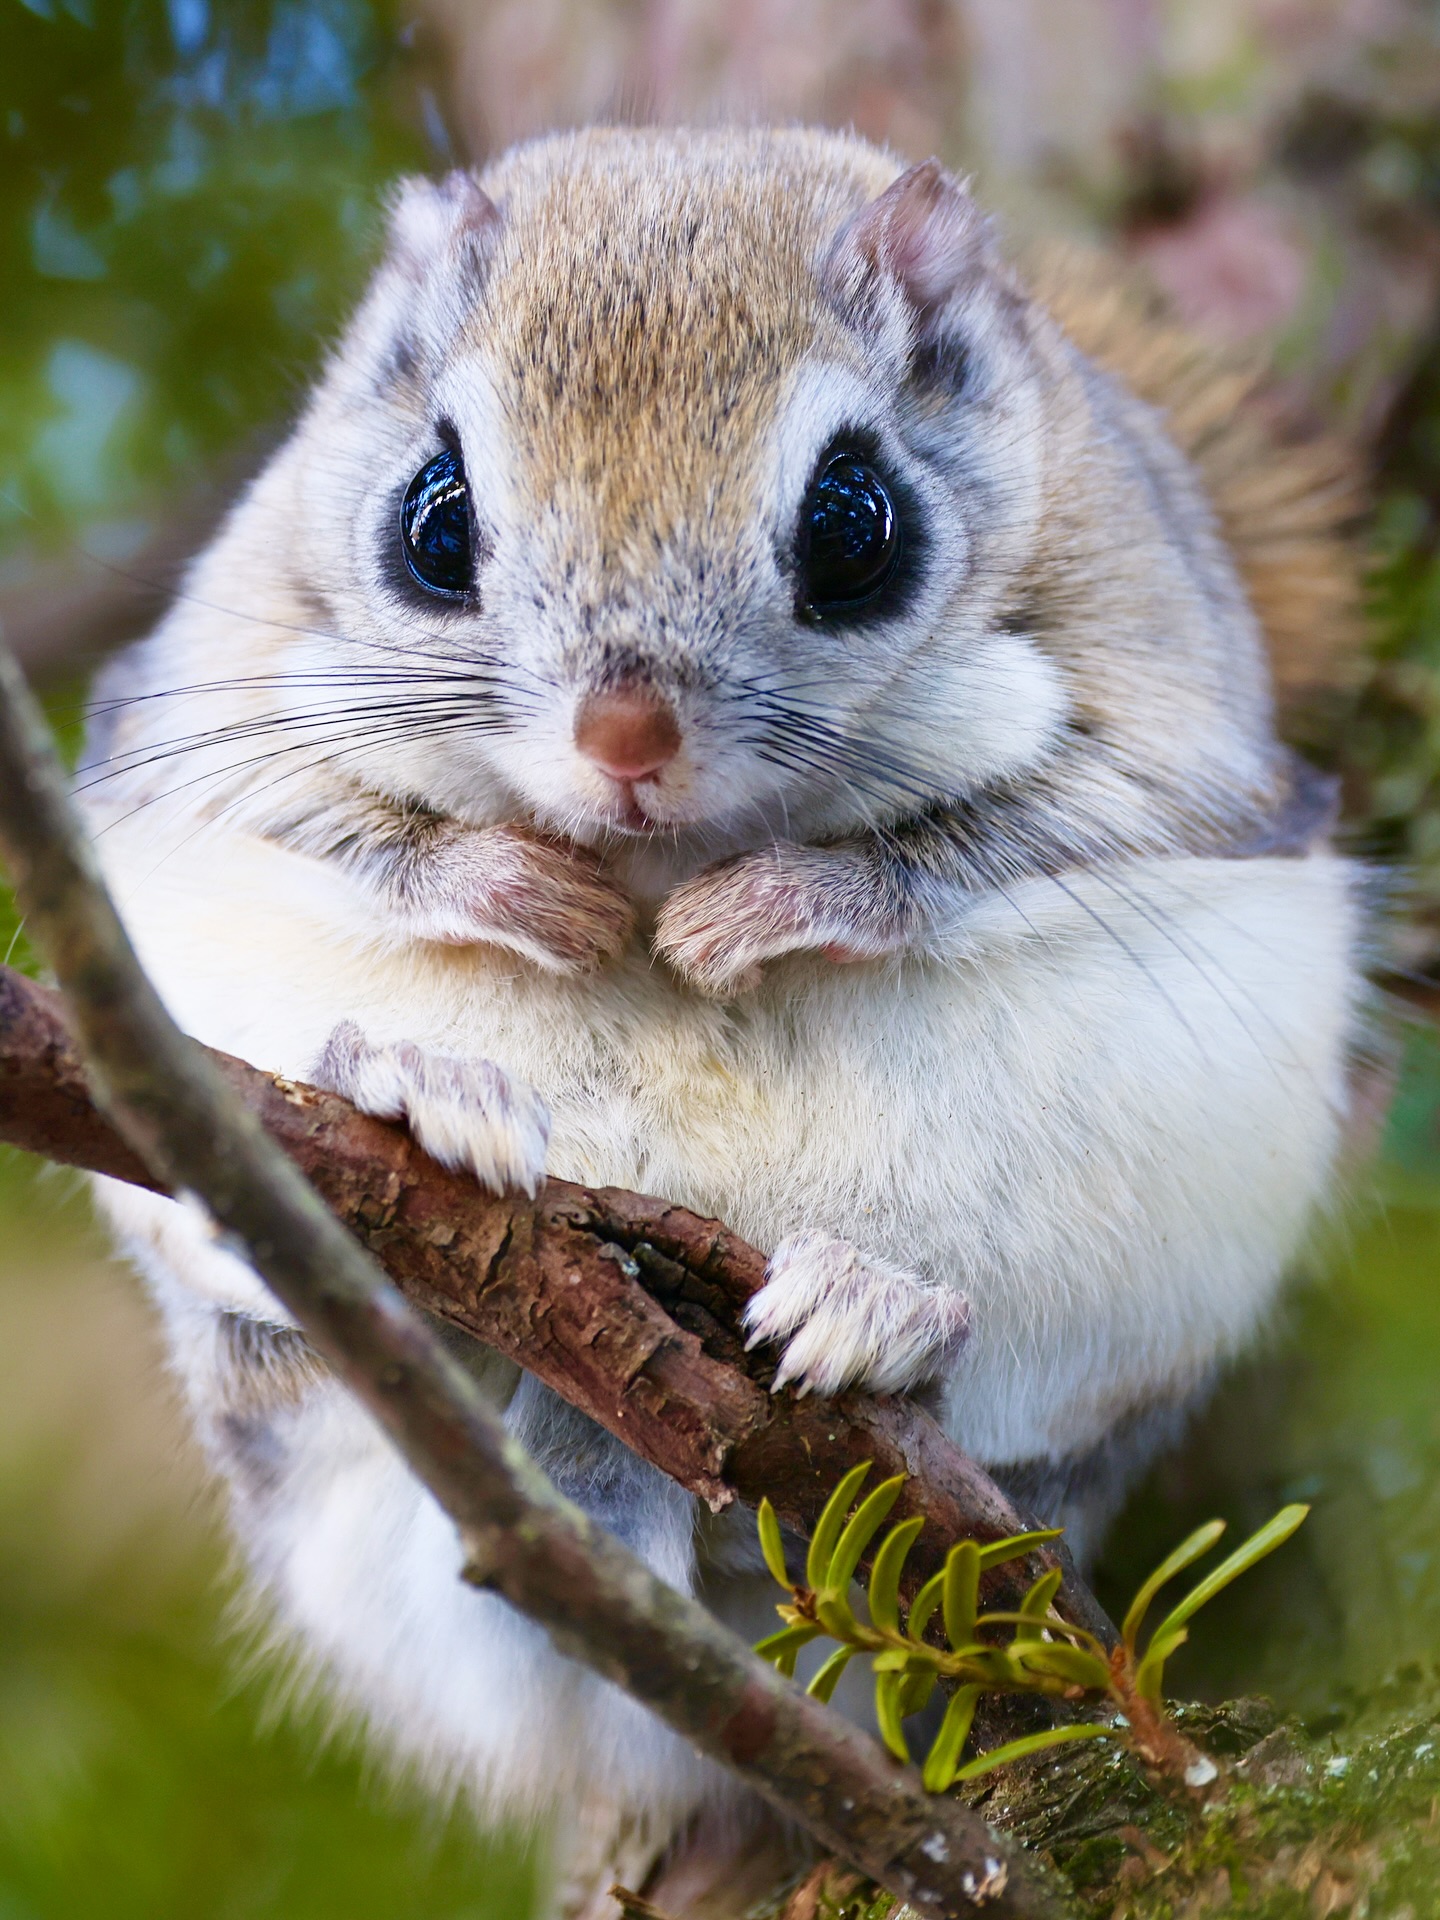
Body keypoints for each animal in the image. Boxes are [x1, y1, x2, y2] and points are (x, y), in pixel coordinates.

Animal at [80, 126, 1362, 1918]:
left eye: (854, 519)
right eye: (432, 516)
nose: (625, 735)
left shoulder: (1177, 749)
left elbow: (968, 849)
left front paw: (759, 912)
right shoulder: (195, 720)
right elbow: (362, 830)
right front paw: (519, 897)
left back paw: (875, 1309)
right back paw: (414, 1109)